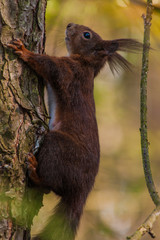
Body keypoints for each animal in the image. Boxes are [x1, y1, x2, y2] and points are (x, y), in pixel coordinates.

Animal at [6, 23, 142, 240]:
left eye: (87, 35)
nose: (70, 24)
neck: (87, 65)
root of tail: (83, 190)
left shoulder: (70, 72)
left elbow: (49, 66)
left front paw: (24, 51)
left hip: (58, 147)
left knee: (49, 184)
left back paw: (35, 171)